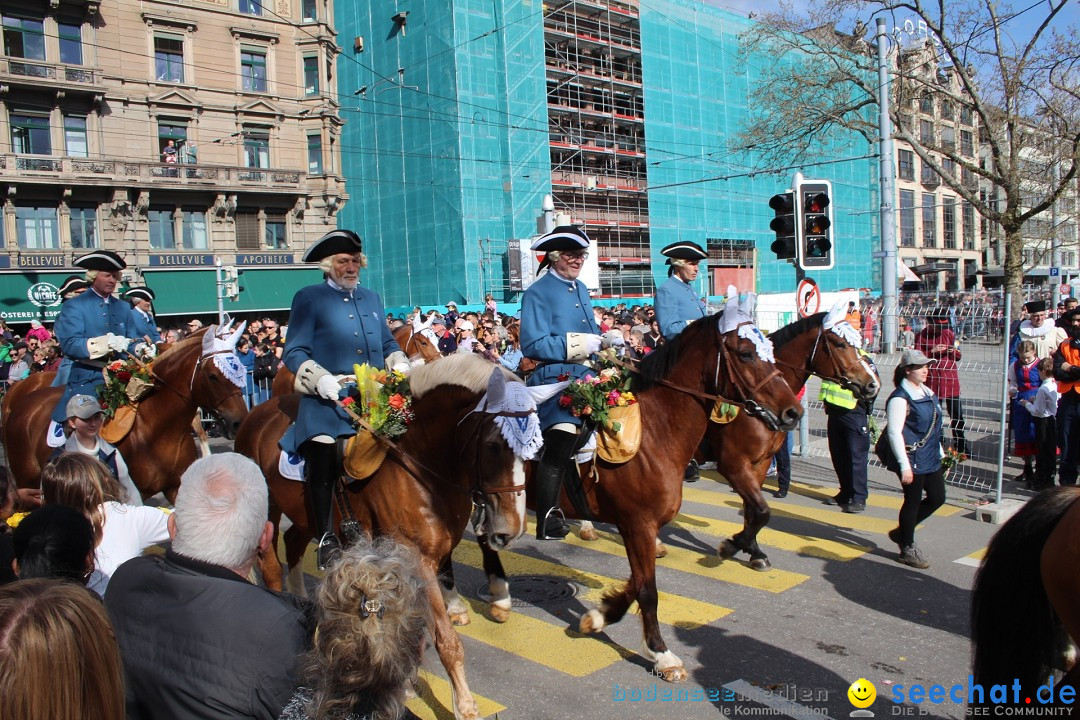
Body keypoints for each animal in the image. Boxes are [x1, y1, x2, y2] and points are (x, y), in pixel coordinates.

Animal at [238, 354, 537, 720]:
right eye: (494, 445)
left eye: (534, 448)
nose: (512, 528)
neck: (418, 463)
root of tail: (256, 412)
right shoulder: (417, 558)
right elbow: (445, 639)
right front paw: (464, 705)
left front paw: (406, 681)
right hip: (266, 509)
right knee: (269, 564)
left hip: (304, 515)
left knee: (294, 541)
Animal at [466, 310, 803, 682]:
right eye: (745, 353)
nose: (794, 412)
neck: (656, 432)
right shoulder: (639, 524)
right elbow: (648, 590)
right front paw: (661, 653)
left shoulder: (641, 526)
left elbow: (637, 582)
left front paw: (597, 617)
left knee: (483, 535)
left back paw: (498, 598)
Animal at [708, 313, 876, 569]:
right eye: (840, 344)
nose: (872, 383)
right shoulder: (733, 463)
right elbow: (761, 511)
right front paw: (734, 544)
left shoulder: (761, 462)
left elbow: (754, 510)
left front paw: (754, 550)